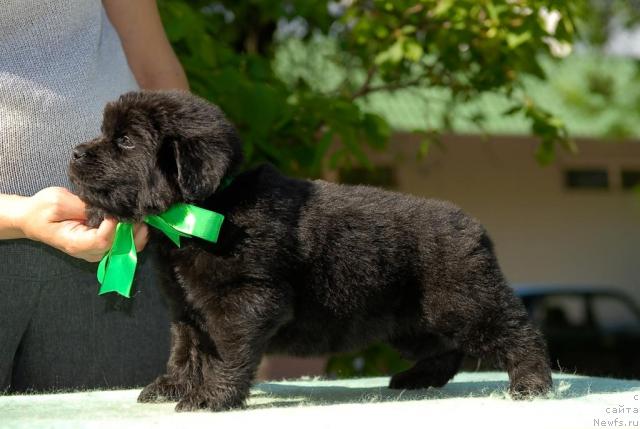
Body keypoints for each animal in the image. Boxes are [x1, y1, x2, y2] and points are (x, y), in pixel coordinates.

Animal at [67, 90, 552, 412]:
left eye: (125, 141)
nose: (74, 152)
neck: (208, 207)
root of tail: (474, 226)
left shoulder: (247, 301)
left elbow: (226, 351)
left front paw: (211, 397)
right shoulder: (188, 309)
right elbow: (186, 351)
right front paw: (171, 387)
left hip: (465, 301)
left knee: (518, 332)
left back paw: (532, 385)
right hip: (412, 320)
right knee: (446, 350)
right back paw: (417, 379)